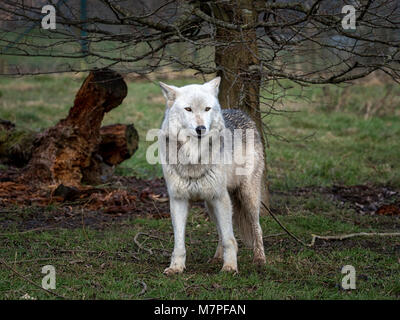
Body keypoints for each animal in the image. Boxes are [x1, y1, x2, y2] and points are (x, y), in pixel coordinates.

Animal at [159, 76, 266, 274]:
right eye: (188, 109)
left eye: (207, 109)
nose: (201, 128)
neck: (194, 157)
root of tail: (241, 112)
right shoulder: (178, 199)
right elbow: (179, 243)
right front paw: (176, 267)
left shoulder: (220, 197)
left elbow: (230, 239)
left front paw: (230, 267)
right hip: (210, 204)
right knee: (221, 231)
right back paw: (217, 258)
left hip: (247, 196)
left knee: (257, 227)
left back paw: (260, 259)